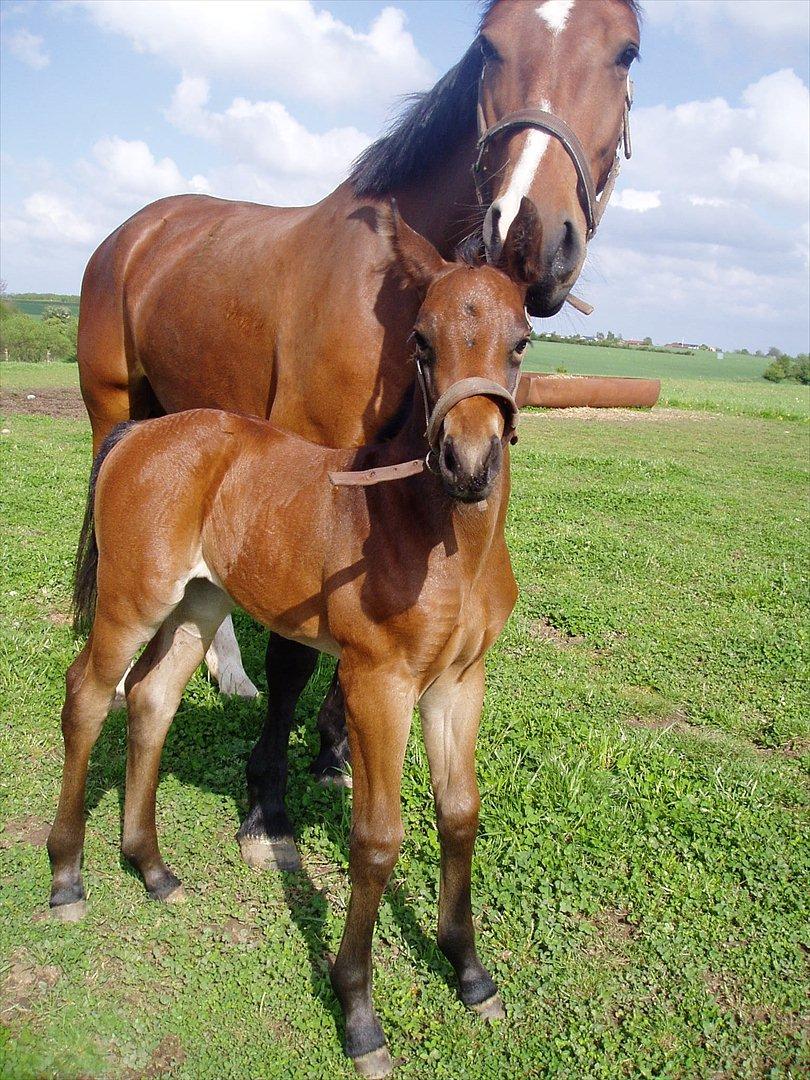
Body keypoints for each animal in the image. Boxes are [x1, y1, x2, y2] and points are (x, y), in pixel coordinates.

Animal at [52, 206, 533, 1075]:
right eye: (420, 340)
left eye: (521, 342)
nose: (468, 461)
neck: (436, 537)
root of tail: (139, 433)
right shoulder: (380, 682)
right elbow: (378, 839)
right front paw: (359, 1014)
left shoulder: (460, 681)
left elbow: (459, 813)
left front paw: (471, 973)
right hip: (132, 601)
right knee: (89, 697)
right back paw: (67, 880)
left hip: (199, 604)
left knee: (151, 698)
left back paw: (152, 869)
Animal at [77, 2, 639, 851]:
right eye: (489, 46)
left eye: (626, 52)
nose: (527, 231)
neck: (386, 292)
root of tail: (137, 230)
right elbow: (293, 657)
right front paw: (267, 804)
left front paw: (334, 754)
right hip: (115, 406)